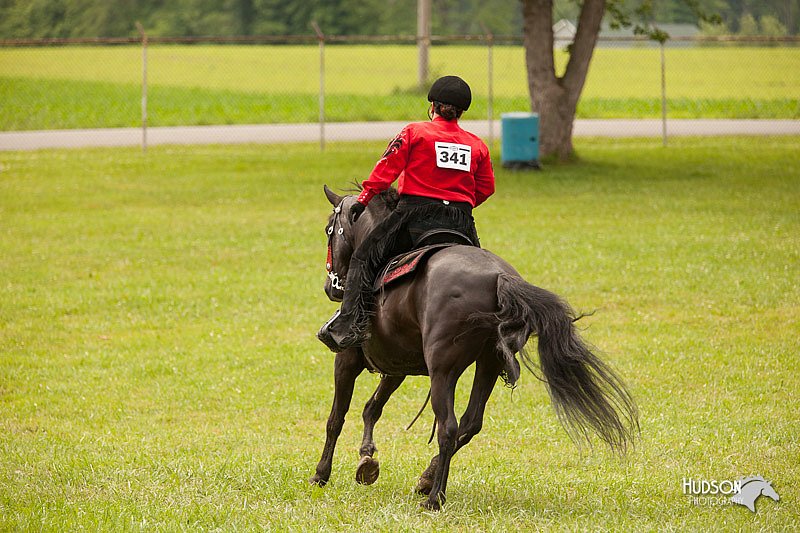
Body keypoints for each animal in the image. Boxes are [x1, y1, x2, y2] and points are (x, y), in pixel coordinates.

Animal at [310, 185, 640, 510]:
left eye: (329, 230)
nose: (329, 287)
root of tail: (498, 277)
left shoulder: (347, 362)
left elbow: (336, 418)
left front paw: (321, 474)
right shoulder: (396, 367)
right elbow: (372, 408)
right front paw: (367, 458)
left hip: (443, 370)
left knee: (448, 427)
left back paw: (434, 497)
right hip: (489, 363)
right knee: (470, 424)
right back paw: (427, 478)